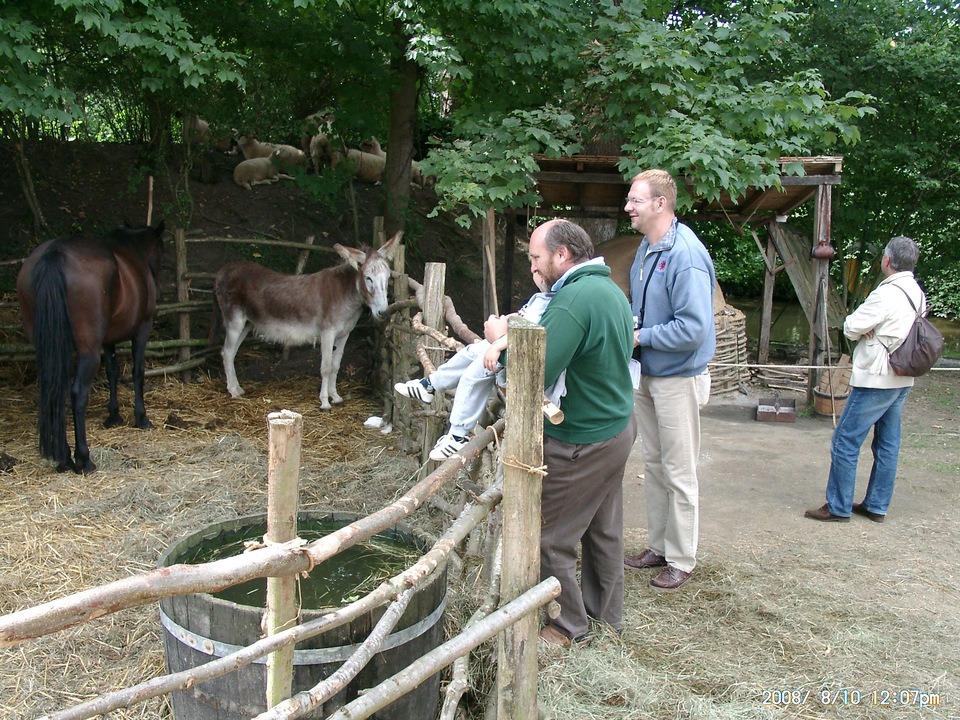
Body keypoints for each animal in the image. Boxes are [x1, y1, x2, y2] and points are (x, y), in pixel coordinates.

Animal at [16, 221, 166, 474]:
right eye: (160, 250)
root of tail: (54, 252)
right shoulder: (142, 329)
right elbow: (137, 372)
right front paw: (141, 418)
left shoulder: (108, 340)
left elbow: (112, 372)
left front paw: (114, 416)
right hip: (88, 351)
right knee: (77, 393)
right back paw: (83, 459)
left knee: (55, 391)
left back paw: (64, 458)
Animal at [214, 231, 401, 410]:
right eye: (368, 278)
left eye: (388, 278)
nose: (383, 312)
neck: (347, 295)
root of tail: (224, 269)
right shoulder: (327, 333)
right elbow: (326, 367)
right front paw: (325, 402)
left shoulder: (344, 334)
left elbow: (336, 366)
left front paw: (335, 397)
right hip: (234, 321)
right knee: (227, 352)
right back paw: (233, 392)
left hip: (247, 324)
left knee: (231, 352)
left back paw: (238, 389)